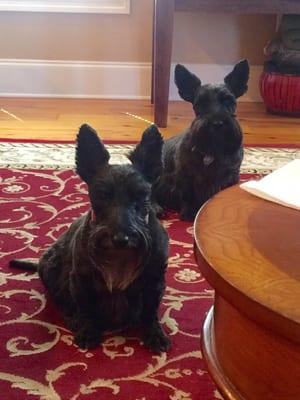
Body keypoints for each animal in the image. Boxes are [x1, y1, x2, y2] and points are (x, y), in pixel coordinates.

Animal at [9, 124, 170, 354]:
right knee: (59, 300)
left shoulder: (154, 280)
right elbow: (87, 310)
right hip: (50, 267)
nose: (121, 238)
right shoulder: (81, 280)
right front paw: (87, 331)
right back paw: (73, 318)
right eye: (101, 195)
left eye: (141, 195)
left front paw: (155, 334)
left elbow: (150, 311)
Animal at [154, 59, 250, 220]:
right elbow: (188, 195)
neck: (213, 151)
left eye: (229, 101)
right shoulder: (185, 176)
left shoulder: (231, 176)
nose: (217, 123)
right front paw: (189, 213)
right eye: (201, 104)